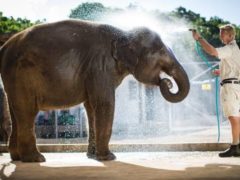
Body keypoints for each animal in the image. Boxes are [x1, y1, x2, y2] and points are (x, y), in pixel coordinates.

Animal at [0, 19, 189, 162]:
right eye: (162, 54)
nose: (166, 82)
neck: (123, 34)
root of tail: (4, 48)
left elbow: (91, 108)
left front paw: (92, 156)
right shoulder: (100, 67)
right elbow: (105, 104)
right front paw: (109, 158)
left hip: (12, 79)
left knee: (16, 113)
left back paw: (17, 158)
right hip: (21, 75)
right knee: (28, 111)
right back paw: (36, 159)